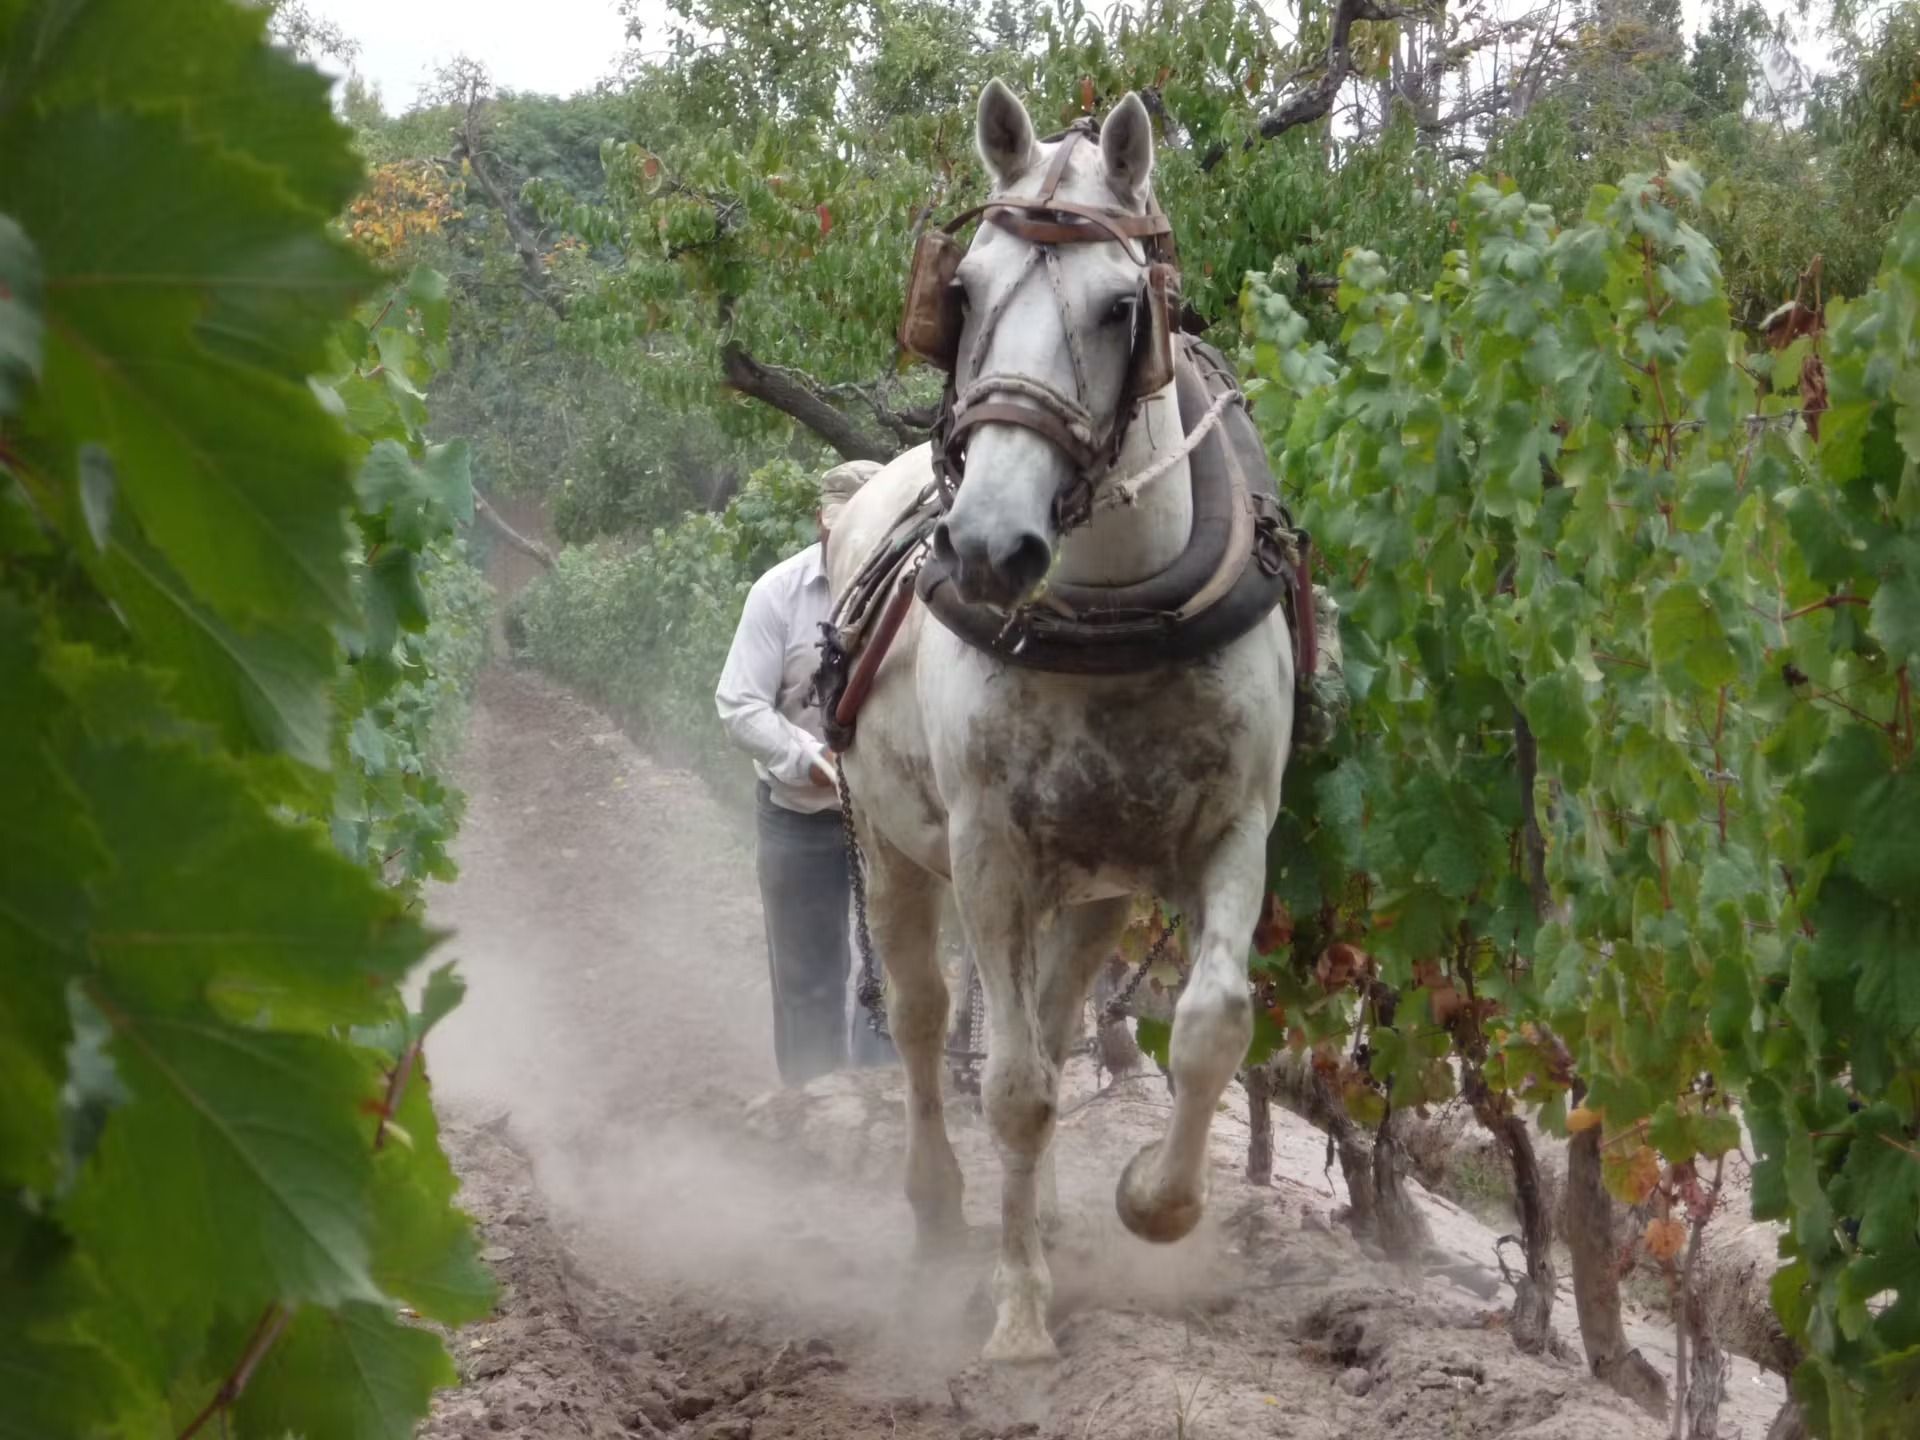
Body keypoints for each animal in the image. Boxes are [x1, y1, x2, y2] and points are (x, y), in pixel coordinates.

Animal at [824, 79, 1295, 1363]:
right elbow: (1016, 1090)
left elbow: (1210, 1025)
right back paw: (944, 1213)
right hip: (893, 848)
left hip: (1093, 888)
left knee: (1051, 1006)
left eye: (1121, 305)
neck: (1114, 612)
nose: (992, 545)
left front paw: (1152, 1202)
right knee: (928, 1023)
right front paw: (1020, 1315)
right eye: (965, 292)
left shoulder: (1235, 828)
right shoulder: (988, 849)